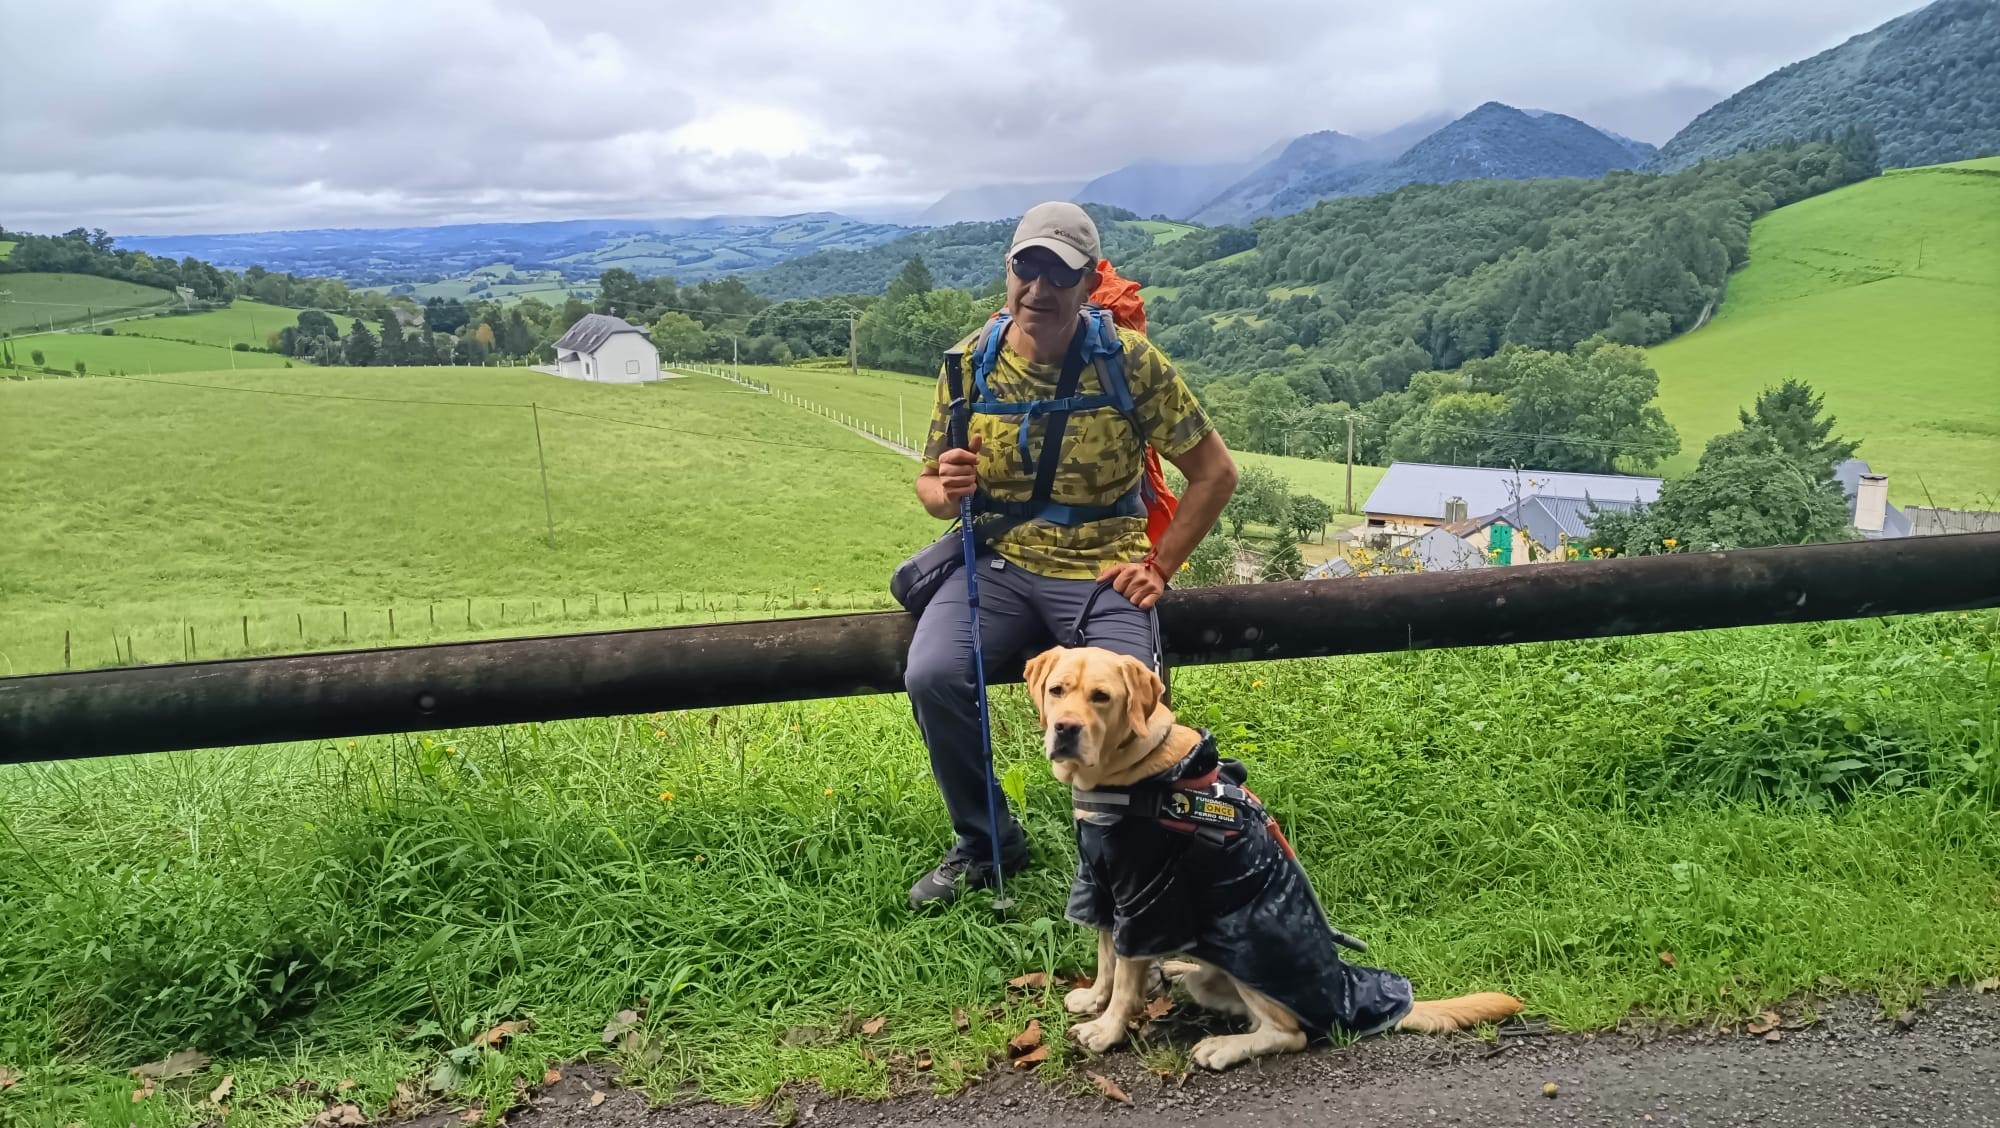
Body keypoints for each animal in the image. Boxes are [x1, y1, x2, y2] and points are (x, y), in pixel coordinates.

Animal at [1024, 648, 1520, 1072]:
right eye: (1057, 691)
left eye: (1102, 697)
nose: (1065, 728)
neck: (1122, 774)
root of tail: (1346, 991)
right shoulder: (1102, 886)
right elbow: (1107, 957)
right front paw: (1094, 999)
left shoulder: (1145, 899)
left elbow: (1126, 978)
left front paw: (1106, 1030)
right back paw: (1182, 973)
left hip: (1252, 956)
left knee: (1288, 1032)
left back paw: (1222, 1047)